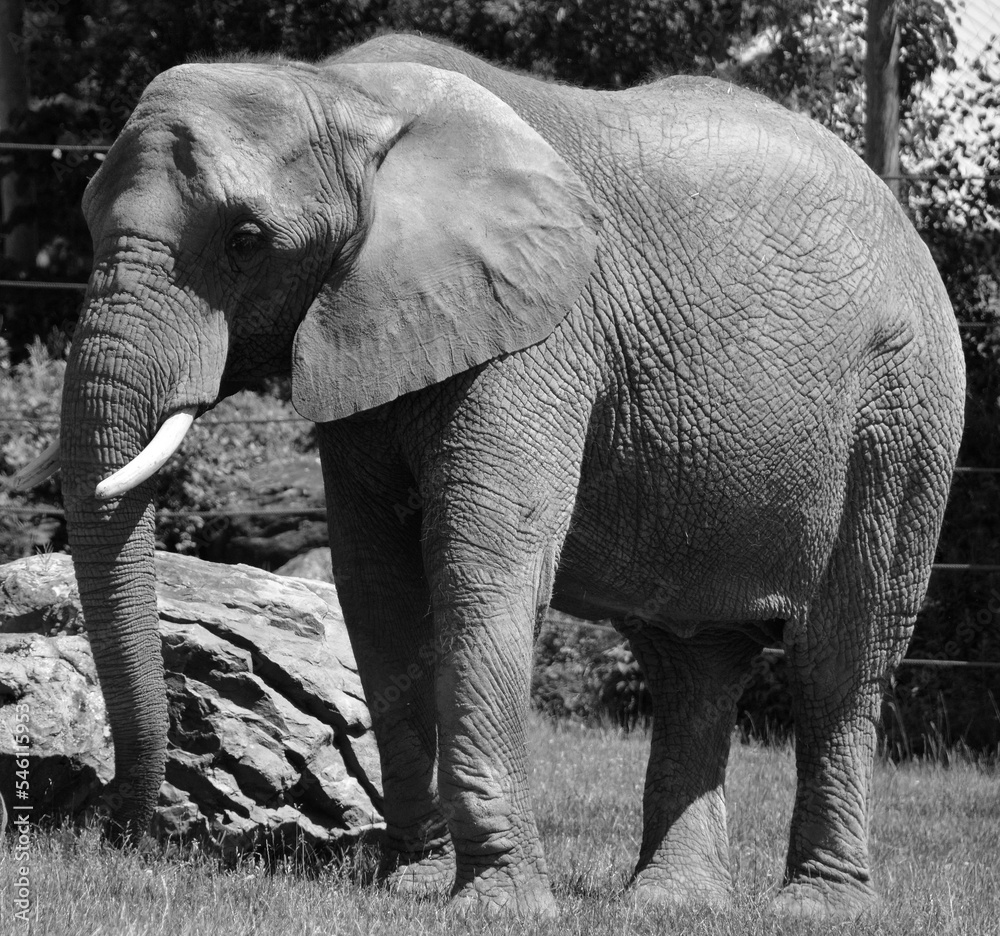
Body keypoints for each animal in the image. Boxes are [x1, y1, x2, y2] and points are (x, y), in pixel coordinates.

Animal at [13, 33, 964, 919]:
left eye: (247, 241)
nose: (115, 835)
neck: (343, 92)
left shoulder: (539, 333)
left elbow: (479, 563)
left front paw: (495, 905)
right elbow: (376, 586)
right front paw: (413, 884)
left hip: (905, 415)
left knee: (841, 656)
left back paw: (818, 905)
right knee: (694, 659)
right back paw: (669, 904)